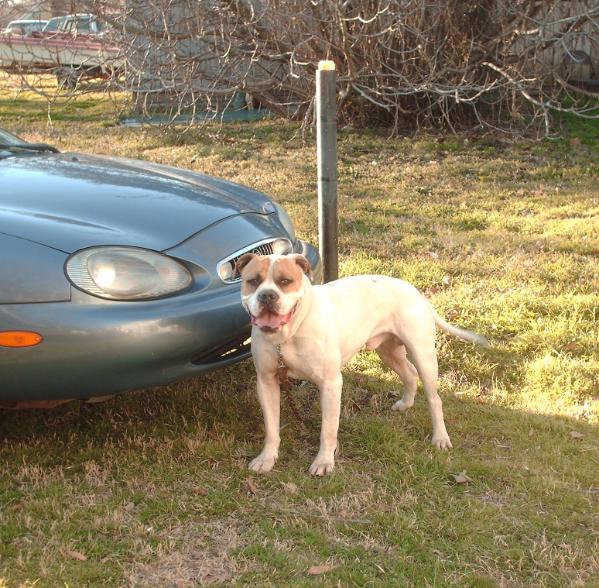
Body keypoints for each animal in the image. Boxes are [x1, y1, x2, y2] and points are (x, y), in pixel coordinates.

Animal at [237, 252, 490, 474]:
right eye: (253, 281)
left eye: (285, 281)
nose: (267, 296)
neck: (287, 334)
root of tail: (415, 291)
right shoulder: (267, 382)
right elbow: (271, 427)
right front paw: (267, 458)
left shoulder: (330, 383)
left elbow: (328, 429)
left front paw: (324, 461)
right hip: (388, 352)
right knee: (409, 373)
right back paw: (406, 404)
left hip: (423, 355)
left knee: (434, 399)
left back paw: (440, 437)